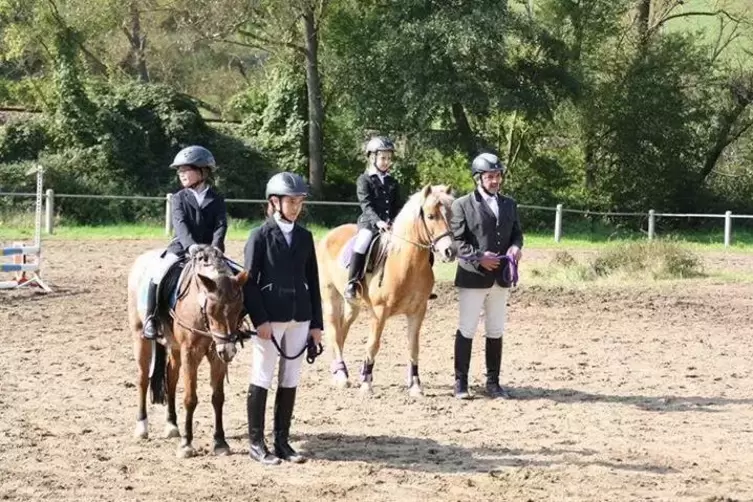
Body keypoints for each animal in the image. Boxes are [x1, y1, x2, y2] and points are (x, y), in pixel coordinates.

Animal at [126, 244, 247, 458]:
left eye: (239, 308)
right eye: (211, 310)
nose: (229, 351)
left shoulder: (216, 355)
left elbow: (218, 398)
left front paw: (220, 442)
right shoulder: (190, 353)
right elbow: (190, 398)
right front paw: (186, 444)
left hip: (175, 347)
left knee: (171, 378)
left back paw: (172, 425)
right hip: (140, 336)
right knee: (142, 379)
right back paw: (142, 427)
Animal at [316, 184, 456, 396]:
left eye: (451, 214)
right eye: (431, 216)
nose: (450, 251)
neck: (406, 264)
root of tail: (329, 235)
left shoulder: (418, 311)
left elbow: (413, 347)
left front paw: (415, 386)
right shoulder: (379, 311)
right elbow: (373, 344)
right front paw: (366, 383)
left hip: (353, 304)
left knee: (342, 330)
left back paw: (338, 371)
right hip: (330, 295)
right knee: (333, 329)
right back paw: (341, 375)